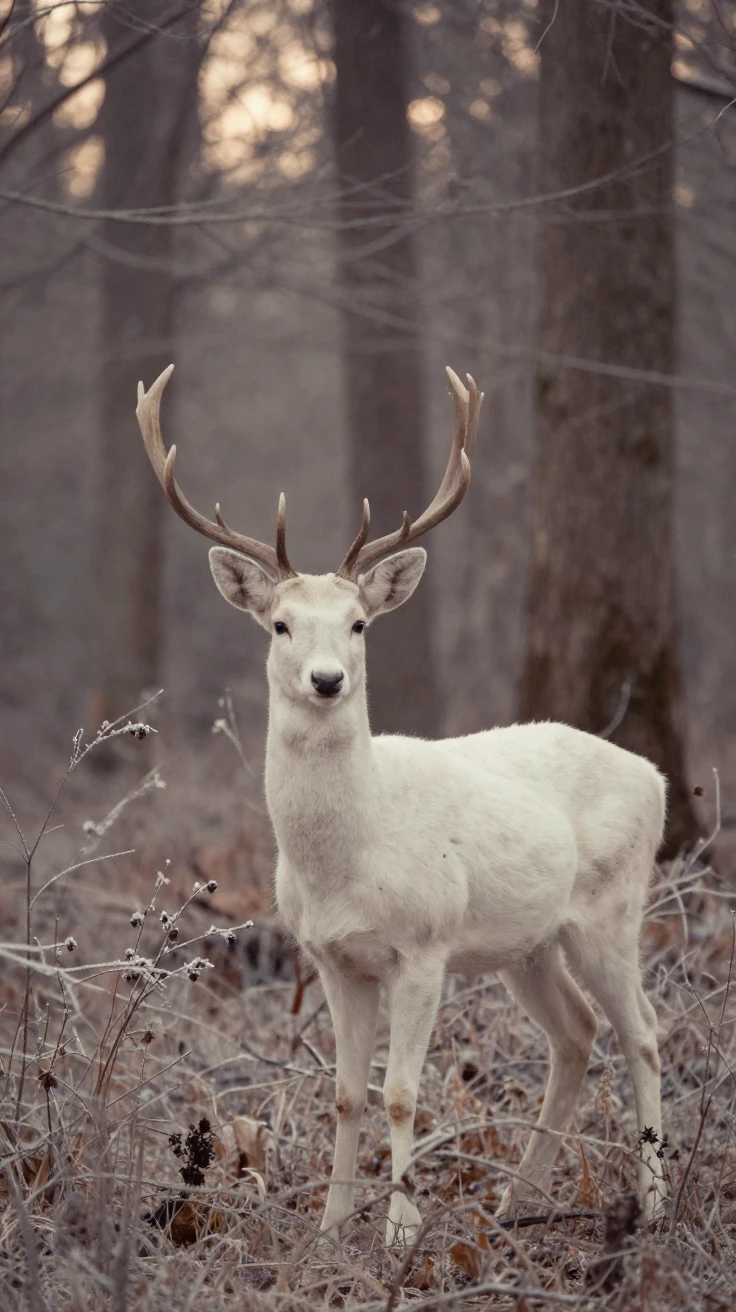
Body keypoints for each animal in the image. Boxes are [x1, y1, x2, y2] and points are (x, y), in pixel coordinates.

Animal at [136, 363, 667, 1245]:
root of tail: (655, 777)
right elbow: (346, 1094)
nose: (326, 680)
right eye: (280, 625)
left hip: (611, 909)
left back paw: (654, 1204)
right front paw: (330, 1228)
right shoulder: (332, 958)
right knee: (577, 1034)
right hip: (528, 942)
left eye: (358, 623)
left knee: (645, 1034)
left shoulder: (424, 945)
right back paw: (517, 1201)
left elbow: (400, 1093)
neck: (348, 857)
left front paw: (398, 1234)